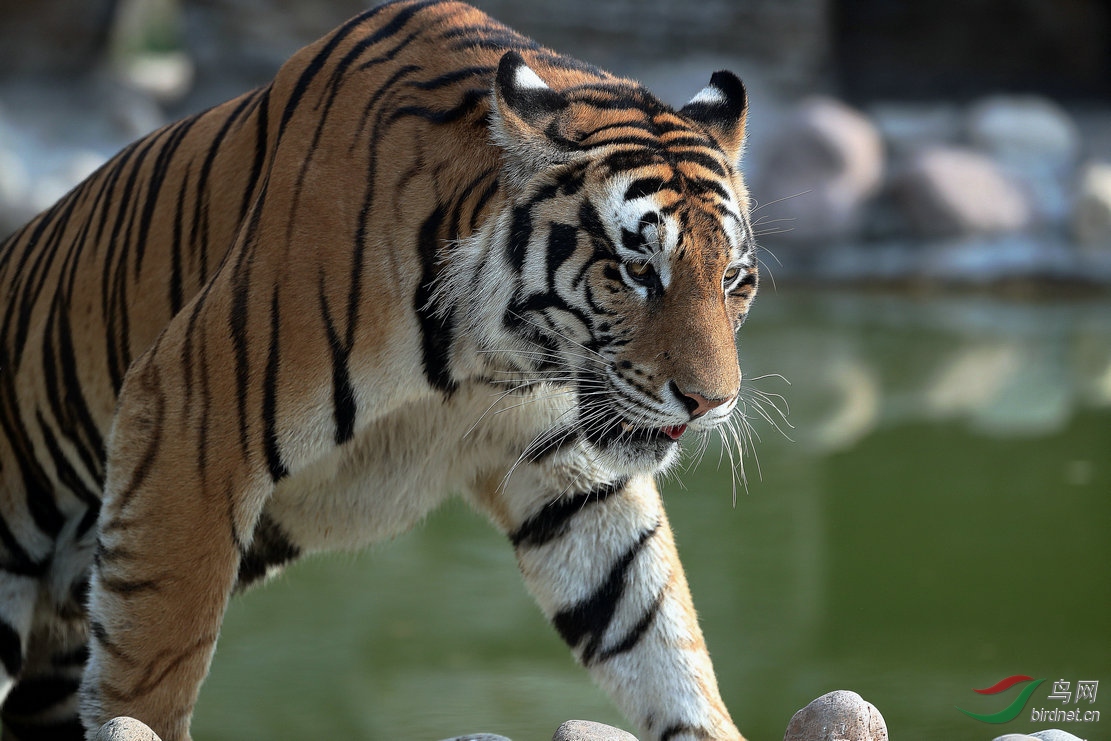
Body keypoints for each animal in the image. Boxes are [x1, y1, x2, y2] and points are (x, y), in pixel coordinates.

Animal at [0, 0, 759, 737]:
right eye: (638, 270)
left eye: (732, 280)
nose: (709, 402)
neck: (486, 361)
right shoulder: (189, 415)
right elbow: (155, 656)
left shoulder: (569, 469)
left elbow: (652, 626)